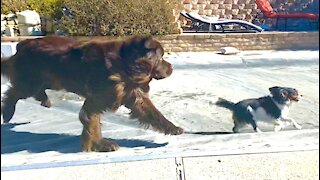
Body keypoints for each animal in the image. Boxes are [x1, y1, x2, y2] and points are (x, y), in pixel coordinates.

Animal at [1, 35, 184, 152]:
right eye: (161, 58)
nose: (172, 67)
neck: (125, 65)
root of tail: (22, 44)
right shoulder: (96, 100)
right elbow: (91, 123)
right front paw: (100, 145)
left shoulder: (134, 97)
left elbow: (155, 114)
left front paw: (173, 128)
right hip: (31, 82)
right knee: (13, 92)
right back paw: (8, 113)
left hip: (47, 79)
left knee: (33, 90)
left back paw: (44, 100)